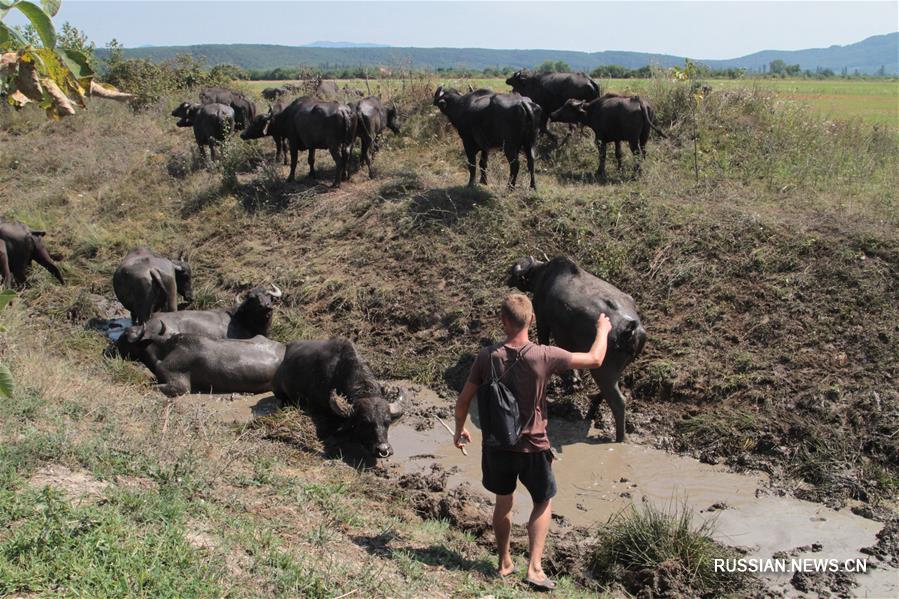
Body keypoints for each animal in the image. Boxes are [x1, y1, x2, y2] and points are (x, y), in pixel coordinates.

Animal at [506, 255, 648, 442]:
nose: (507, 280)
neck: (544, 275)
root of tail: (631, 329)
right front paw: (575, 379)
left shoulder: (542, 320)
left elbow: (544, 343)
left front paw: (571, 379)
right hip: (617, 370)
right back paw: (591, 411)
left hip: (604, 372)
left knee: (618, 402)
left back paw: (619, 438)